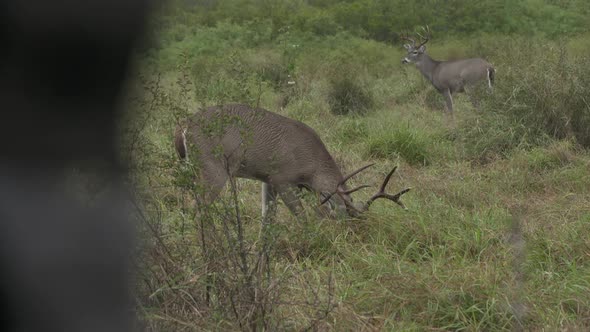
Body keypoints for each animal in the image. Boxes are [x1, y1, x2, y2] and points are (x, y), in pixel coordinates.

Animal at [173, 104, 410, 218]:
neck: (312, 163)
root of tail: (185, 126)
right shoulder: (283, 179)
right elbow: (301, 216)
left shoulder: (267, 180)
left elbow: (267, 219)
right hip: (213, 169)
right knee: (197, 209)